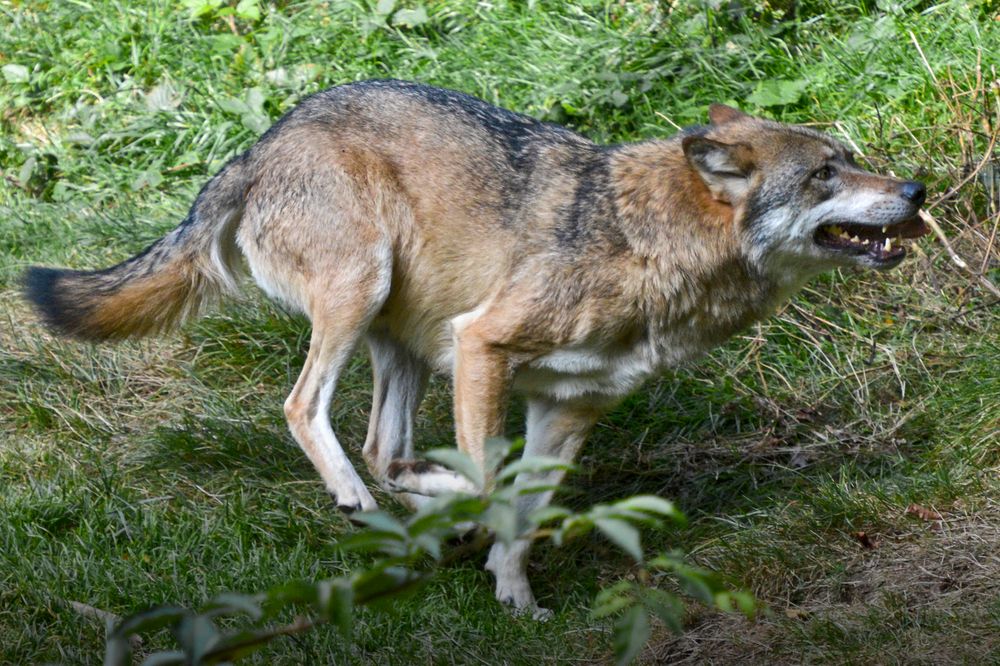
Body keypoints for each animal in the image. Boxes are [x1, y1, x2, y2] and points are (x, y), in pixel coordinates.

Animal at [23, 79, 928, 616]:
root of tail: (258, 146)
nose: (916, 190)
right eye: (826, 173)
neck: (648, 244)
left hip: (407, 347)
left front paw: (516, 599)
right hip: (365, 297)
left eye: (852, 161)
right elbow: (497, 486)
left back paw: (411, 501)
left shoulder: (568, 410)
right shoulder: (484, 346)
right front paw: (470, 526)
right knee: (308, 411)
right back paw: (370, 499)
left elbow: (526, 512)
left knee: (380, 444)